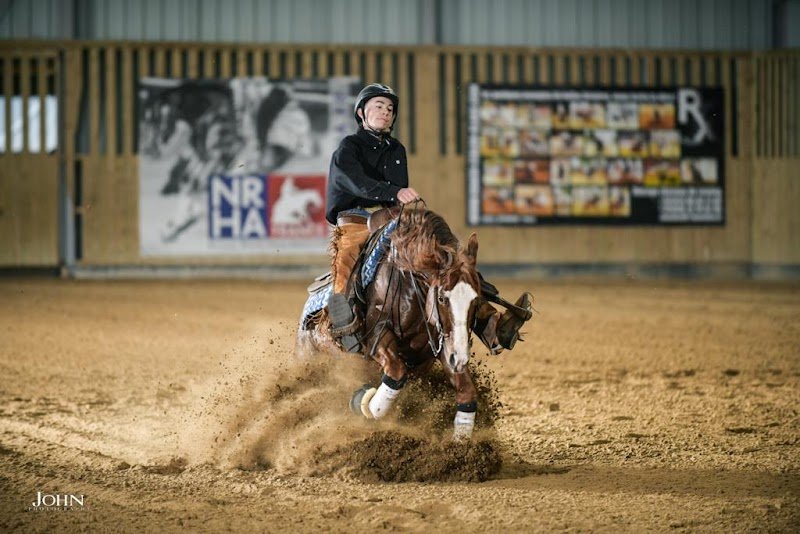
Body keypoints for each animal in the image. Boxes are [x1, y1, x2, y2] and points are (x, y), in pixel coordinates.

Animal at [297, 207, 484, 440]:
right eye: (442, 298)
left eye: (476, 299)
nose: (460, 358)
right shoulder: (377, 336)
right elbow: (395, 372)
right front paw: (363, 402)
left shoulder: (441, 345)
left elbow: (467, 392)